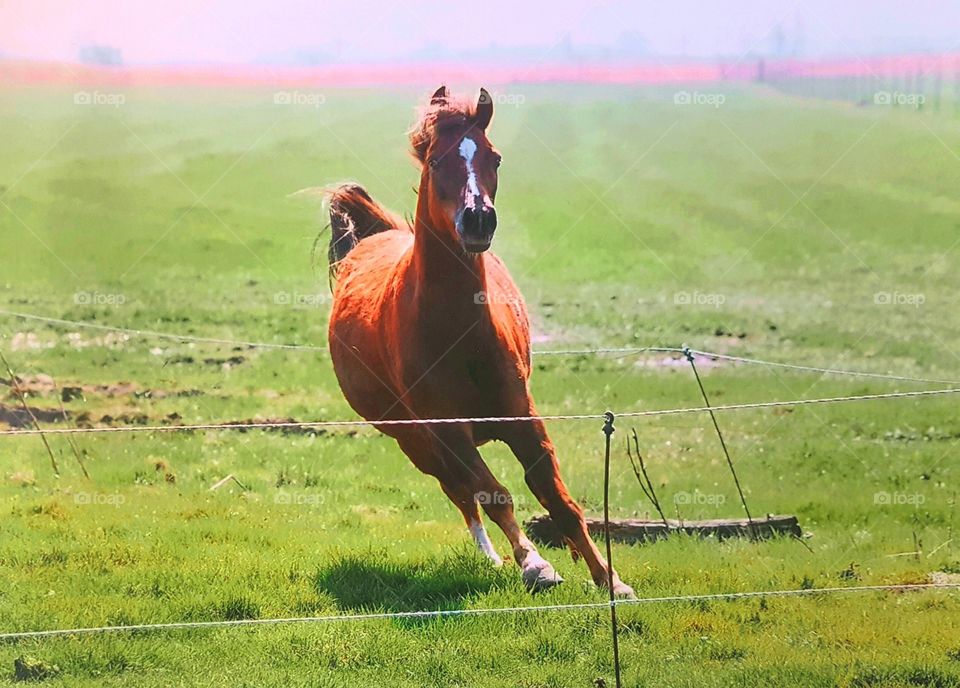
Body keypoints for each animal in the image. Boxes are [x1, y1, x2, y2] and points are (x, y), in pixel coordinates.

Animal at [326, 86, 632, 596]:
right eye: (435, 161)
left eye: (495, 157)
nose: (477, 220)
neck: (460, 332)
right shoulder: (447, 430)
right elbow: (493, 493)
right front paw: (536, 565)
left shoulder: (522, 415)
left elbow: (557, 497)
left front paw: (609, 580)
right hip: (417, 444)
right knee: (460, 493)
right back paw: (494, 557)